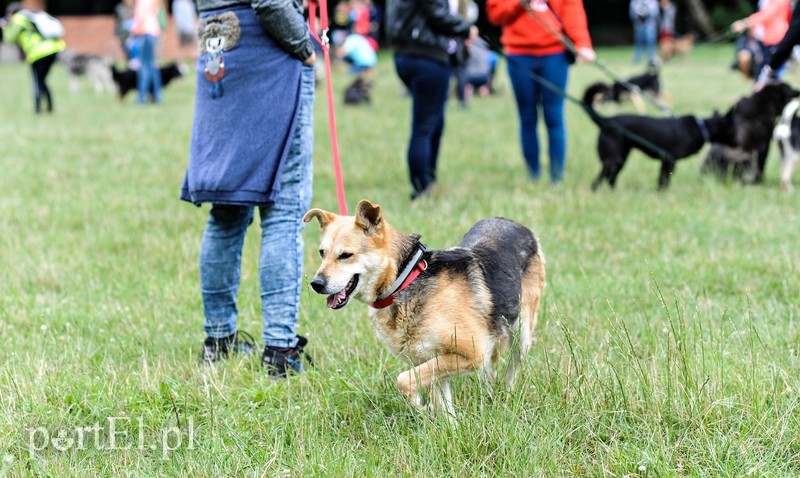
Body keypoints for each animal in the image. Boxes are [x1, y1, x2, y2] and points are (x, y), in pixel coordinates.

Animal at [304, 200, 548, 416]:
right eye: (322, 253)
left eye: (346, 255)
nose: (316, 284)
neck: (403, 280)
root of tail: (515, 224)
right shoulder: (430, 359)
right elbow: (441, 402)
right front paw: (448, 426)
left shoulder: (469, 354)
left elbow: (404, 381)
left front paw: (422, 408)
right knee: (487, 373)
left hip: (522, 334)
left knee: (512, 371)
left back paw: (507, 396)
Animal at [580, 84, 736, 190]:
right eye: (734, 126)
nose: (738, 140)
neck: (701, 127)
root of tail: (605, 121)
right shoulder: (669, 160)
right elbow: (664, 181)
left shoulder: (665, 162)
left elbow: (662, 180)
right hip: (612, 161)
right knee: (597, 182)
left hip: (620, 160)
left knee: (610, 180)